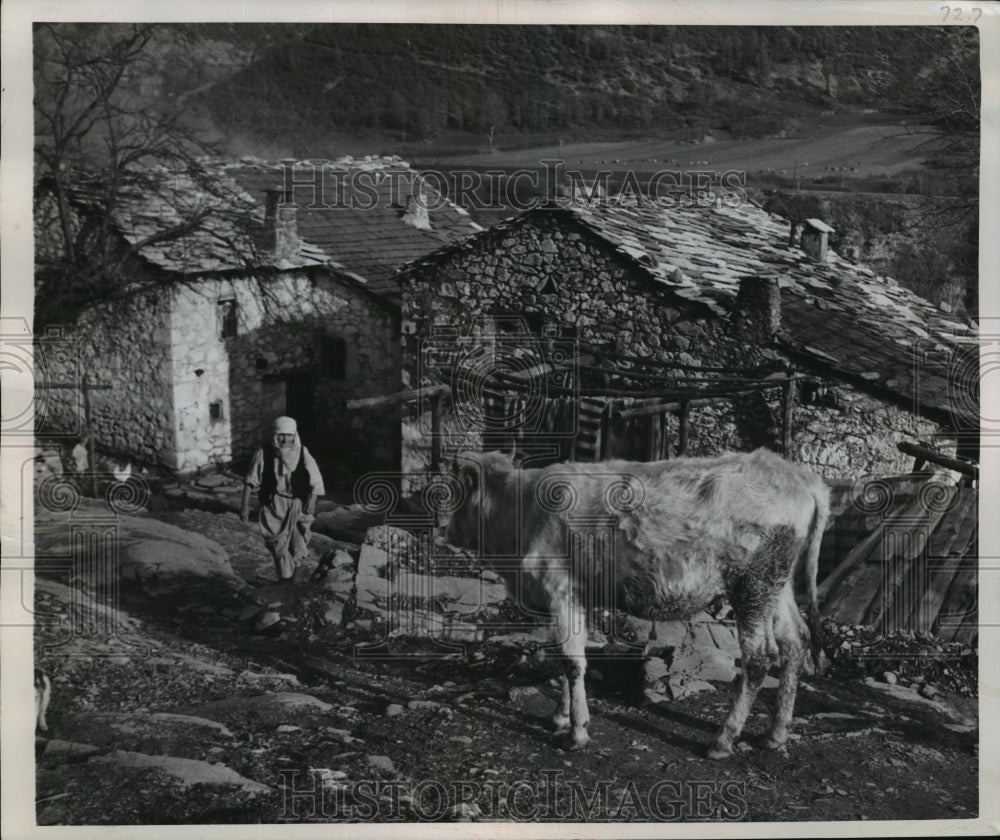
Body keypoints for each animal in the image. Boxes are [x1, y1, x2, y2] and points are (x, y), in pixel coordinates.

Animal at [446, 450, 828, 756]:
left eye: (456, 494)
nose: (444, 531)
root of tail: (799, 476)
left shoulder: (559, 588)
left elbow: (571, 661)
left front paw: (576, 732)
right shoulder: (580, 595)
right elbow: (573, 656)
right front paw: (561, 715)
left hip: (753, 585)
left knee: (759, 658)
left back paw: (723, 739)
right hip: (777, 586)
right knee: (794, 642)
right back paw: (775, 734)